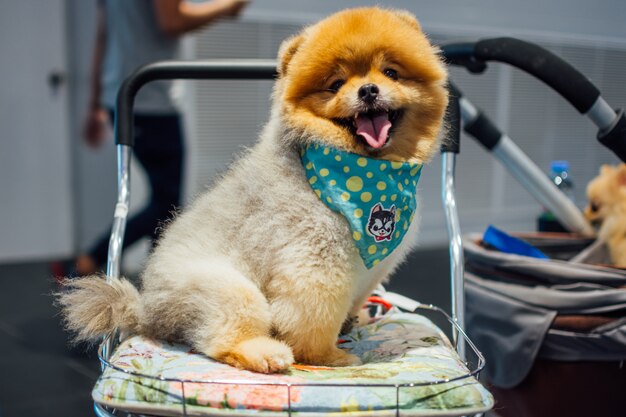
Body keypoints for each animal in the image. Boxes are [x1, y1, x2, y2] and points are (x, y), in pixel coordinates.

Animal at [58, 8, 446, 374]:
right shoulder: (314, 262)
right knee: (226, 332)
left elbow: (353, 301)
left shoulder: (372, 272)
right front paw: (327, 355)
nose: (368, 90)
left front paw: (355, 321)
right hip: (226, 289)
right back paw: (264, 353)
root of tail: (144, 311)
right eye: (336, 84)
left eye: (391, 73)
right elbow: (312, 320)